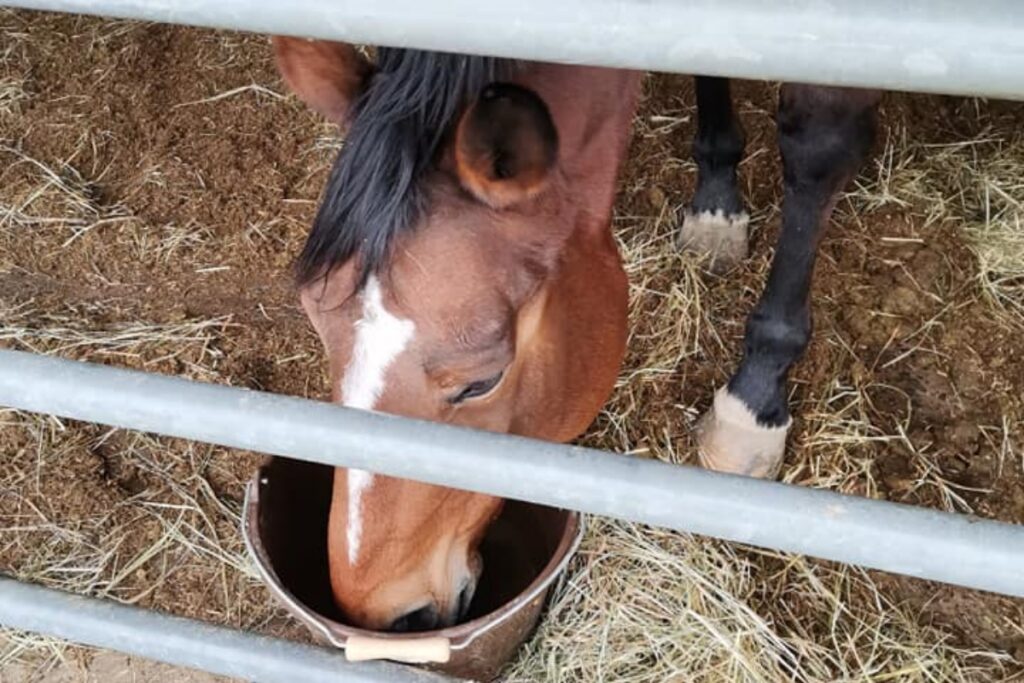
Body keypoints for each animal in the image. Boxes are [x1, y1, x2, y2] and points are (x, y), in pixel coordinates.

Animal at [272, 36, 880, 634]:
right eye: (318, 326)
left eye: (481, 382)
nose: (388, 615)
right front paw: (716, 205)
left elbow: (816, 149)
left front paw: (753, 399)